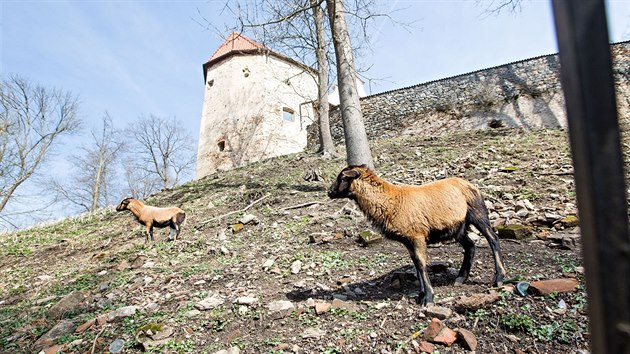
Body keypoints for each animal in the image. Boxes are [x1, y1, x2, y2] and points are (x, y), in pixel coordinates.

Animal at [330, 165, 508, 306]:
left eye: (342, 177)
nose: (329, 192)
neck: (391, 201)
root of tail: (469, 184)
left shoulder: (417, 235)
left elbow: (421, 265)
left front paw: (428, 297)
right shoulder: (408, 240)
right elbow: (416, 264)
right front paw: (421, 293)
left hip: (477, 213)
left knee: (493, 239)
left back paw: (499, 278)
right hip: (458, 226)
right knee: (470, 245)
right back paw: (460, 278)